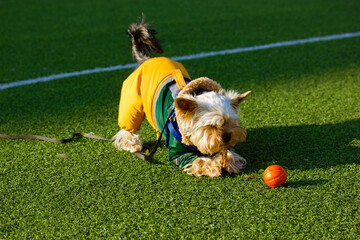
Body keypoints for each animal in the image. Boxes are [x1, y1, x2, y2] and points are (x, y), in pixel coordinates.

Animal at [112, 14, 250, 176]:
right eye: (211, 126)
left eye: (231, 123)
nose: (227, 137)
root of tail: (146, 59)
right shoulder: (179, 153)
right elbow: (200, 160)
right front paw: (214, 165)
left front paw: (230, 160)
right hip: (131, 100)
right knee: (128, 125)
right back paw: (131, 143)